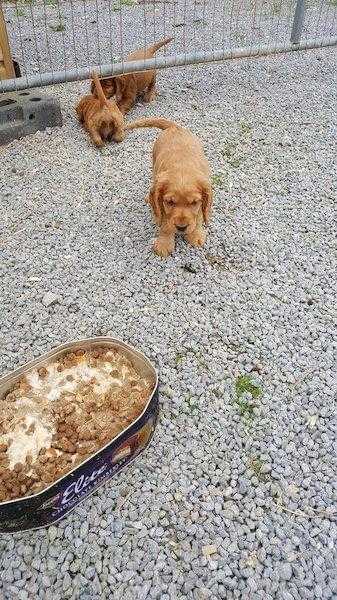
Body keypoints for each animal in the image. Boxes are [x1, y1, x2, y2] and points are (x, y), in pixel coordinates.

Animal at [124, 118, 211, 258]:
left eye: (194, 203)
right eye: (169, 202)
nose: (181, 227)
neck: (182, 165)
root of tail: (174, 127)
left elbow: (199, 216)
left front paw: (195, 235)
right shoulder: (161, 201)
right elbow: (165, 221)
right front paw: (164, 244)